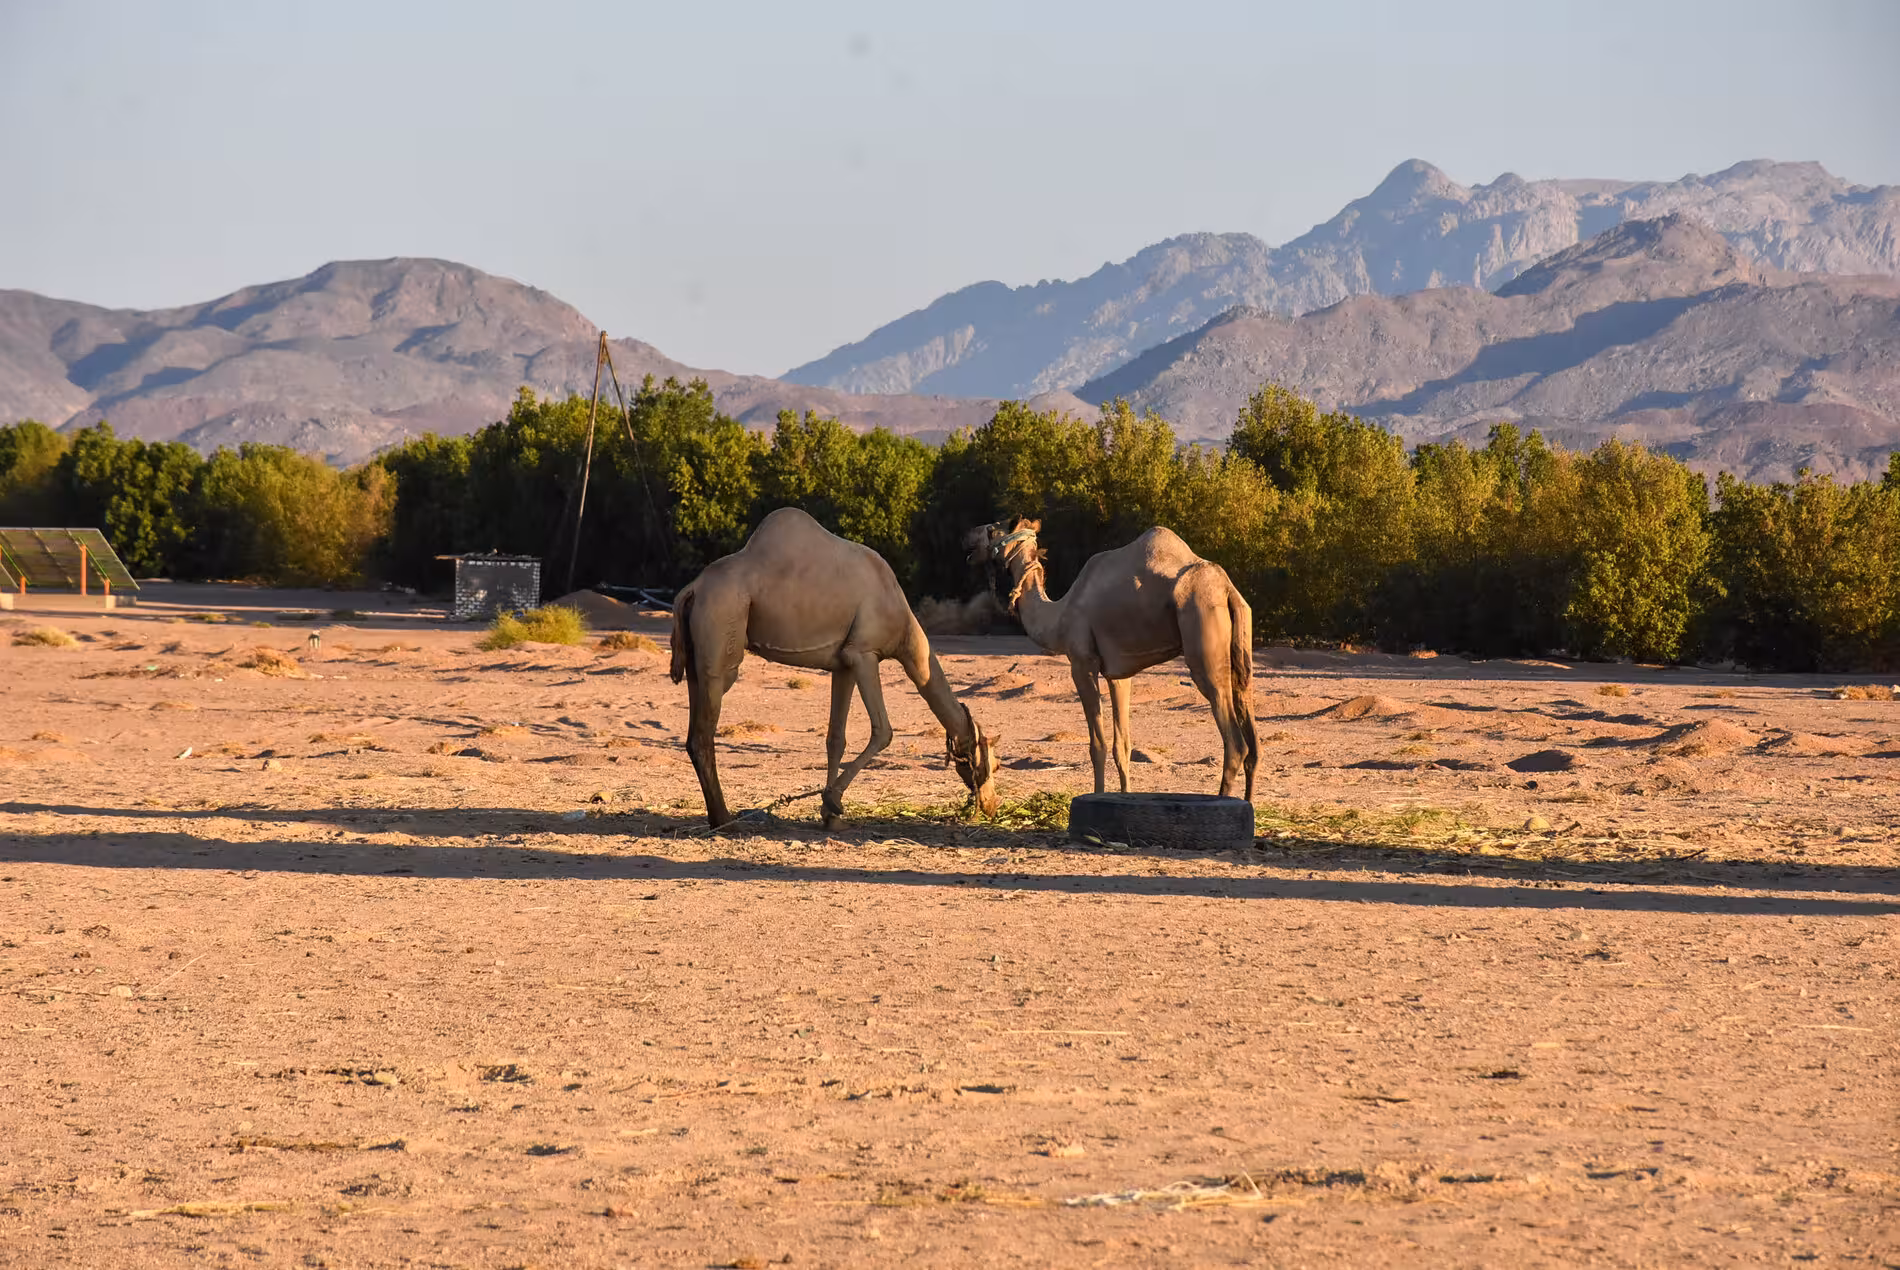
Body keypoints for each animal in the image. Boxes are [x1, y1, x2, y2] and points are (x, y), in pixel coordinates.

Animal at [670, 507, 1000, 829]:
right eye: (993, 764)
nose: (991, 806)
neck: (905, 628)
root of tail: (692, 589)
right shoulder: (864, 654)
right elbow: (883, 731)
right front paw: (832, 801)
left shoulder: (843, 664)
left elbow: (836, 739)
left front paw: (830, 816)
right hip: (722, 628)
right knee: (704, 732)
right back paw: (725, 821)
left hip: (696, 659)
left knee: (694, 726)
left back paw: (719, 818)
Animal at [969, 518, 1257, 800]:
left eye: (992, 529)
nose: (968, 540)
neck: (1059, 616)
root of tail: (1227, 590)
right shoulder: (1119, 673)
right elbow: (1123, 746)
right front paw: (1125, 795)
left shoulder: (1082, 663)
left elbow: (1098, 745)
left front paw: (1097, 796)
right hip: (1240, 645)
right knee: (1252, 740)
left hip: (1203, 634)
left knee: (1235, 743)